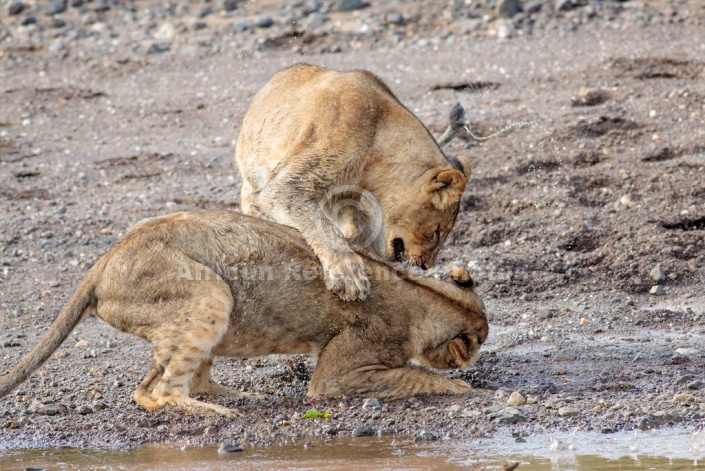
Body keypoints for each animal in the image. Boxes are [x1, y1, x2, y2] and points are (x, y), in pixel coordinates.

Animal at [0, 212, 484, 418]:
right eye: (478, 341)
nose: (474, 355)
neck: (426, 298)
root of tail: (100, 265)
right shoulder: (341, 373)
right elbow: (416, 376)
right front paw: (469, 390)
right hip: (210, 294)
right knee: (157, 392)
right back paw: (217, 412)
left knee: (160, 383)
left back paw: (239, 396)